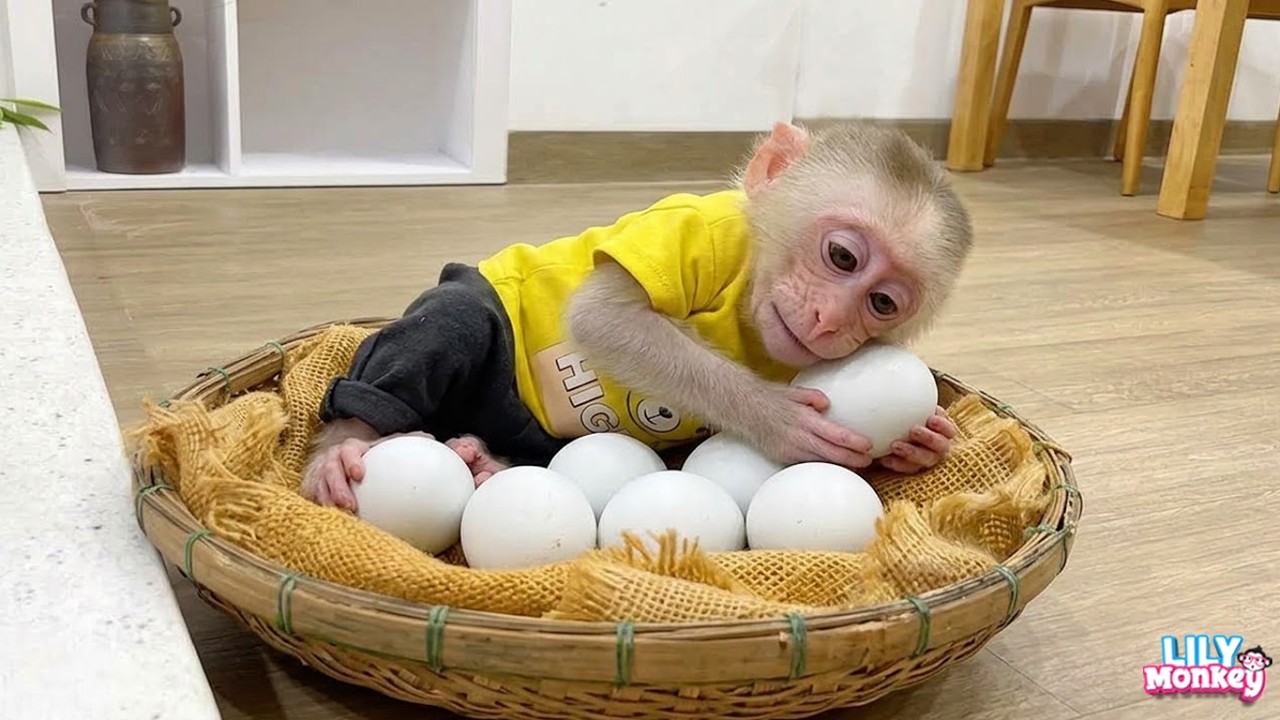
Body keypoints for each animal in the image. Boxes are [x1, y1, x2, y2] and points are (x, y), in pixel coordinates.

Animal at [301, 120, 974, 513]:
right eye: (842, 256)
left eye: (882, 304)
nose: (831, 321)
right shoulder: (699, 228)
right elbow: (606, 317)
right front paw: (778, 417)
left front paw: (923, 441)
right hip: (467, 302)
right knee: (453, 316)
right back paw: (343, 448)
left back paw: (481, 462)